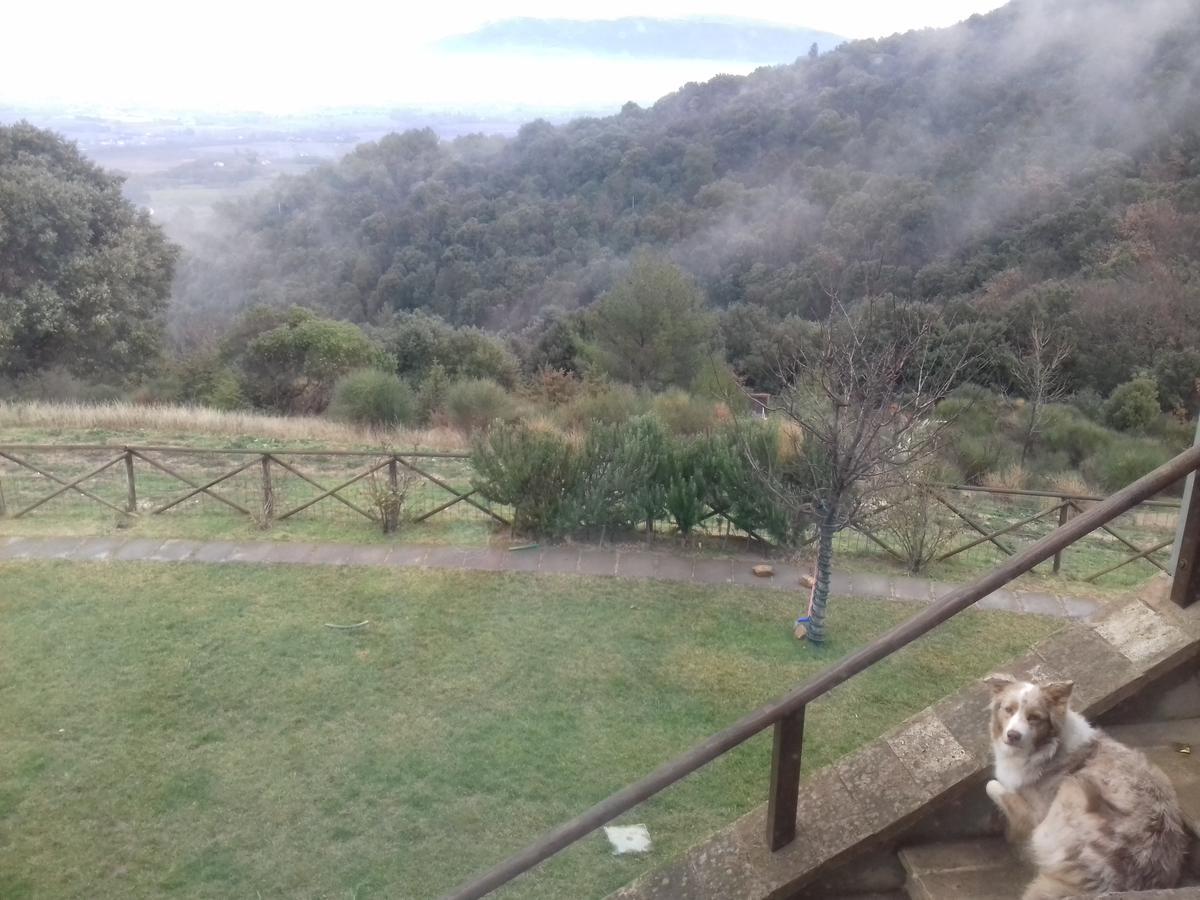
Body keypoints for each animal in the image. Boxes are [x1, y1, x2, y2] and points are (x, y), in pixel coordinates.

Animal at [984, 676, 1190, 900]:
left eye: (1034, 718)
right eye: (1008, 710)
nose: (1013, 735)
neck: (1049, 747)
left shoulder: (1035, 812)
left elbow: (992, 786)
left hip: (1072, 791)